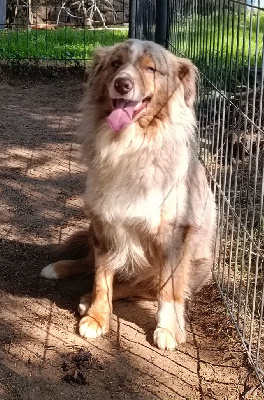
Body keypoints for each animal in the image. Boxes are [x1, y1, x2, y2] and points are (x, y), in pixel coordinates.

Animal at [40, 38, 216, 350]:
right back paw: (60, 270)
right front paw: (98, 317)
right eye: (115, 64)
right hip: (91, 228)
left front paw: (168, 329)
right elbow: (101, 277)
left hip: (200, 266)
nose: (122, 84)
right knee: (90, 263)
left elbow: (168, 290)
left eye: (151, 68)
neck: (128, 145)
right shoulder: (103, 222)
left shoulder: (173, 236)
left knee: (145, 287)